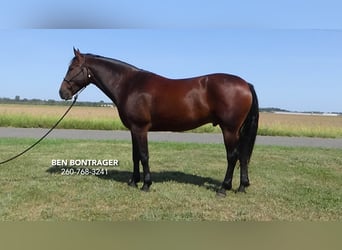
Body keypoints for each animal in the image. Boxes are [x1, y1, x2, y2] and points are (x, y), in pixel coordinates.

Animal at [58, 48, 258, 197]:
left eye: (72, 68)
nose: (62, 92)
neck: (129, 85)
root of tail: (246, 84)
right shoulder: (133, 129)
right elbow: (135, 156)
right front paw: (133, 182)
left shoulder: (140, 128)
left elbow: (144, 155)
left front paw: (146, 185)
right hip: (238, 130)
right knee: (242, 155)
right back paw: (242, 186)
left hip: (229, 129)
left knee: (232, 157)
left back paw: (223, 188)